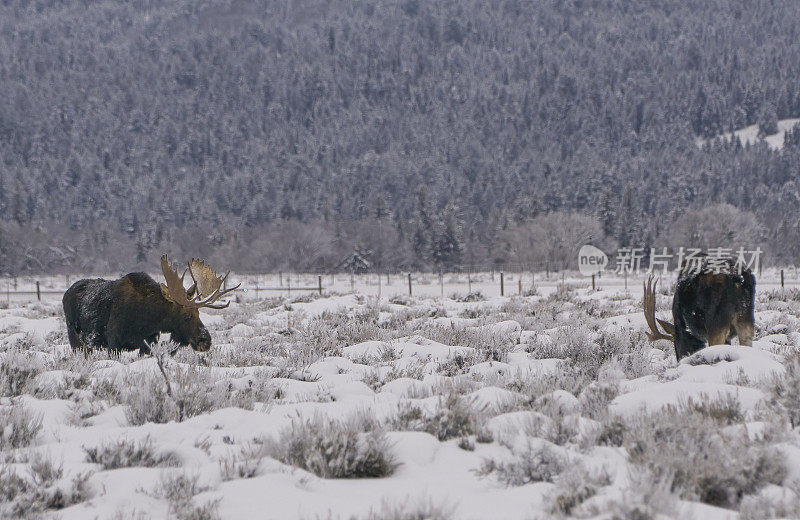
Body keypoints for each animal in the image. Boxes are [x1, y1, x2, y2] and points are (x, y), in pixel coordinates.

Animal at [63, 256, 239, 354]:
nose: (205, 341)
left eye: (199, 313)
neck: (147, 319)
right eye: (186, 315)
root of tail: (66, 292)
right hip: (76, 339)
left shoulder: (147, 345)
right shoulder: (113, 343)